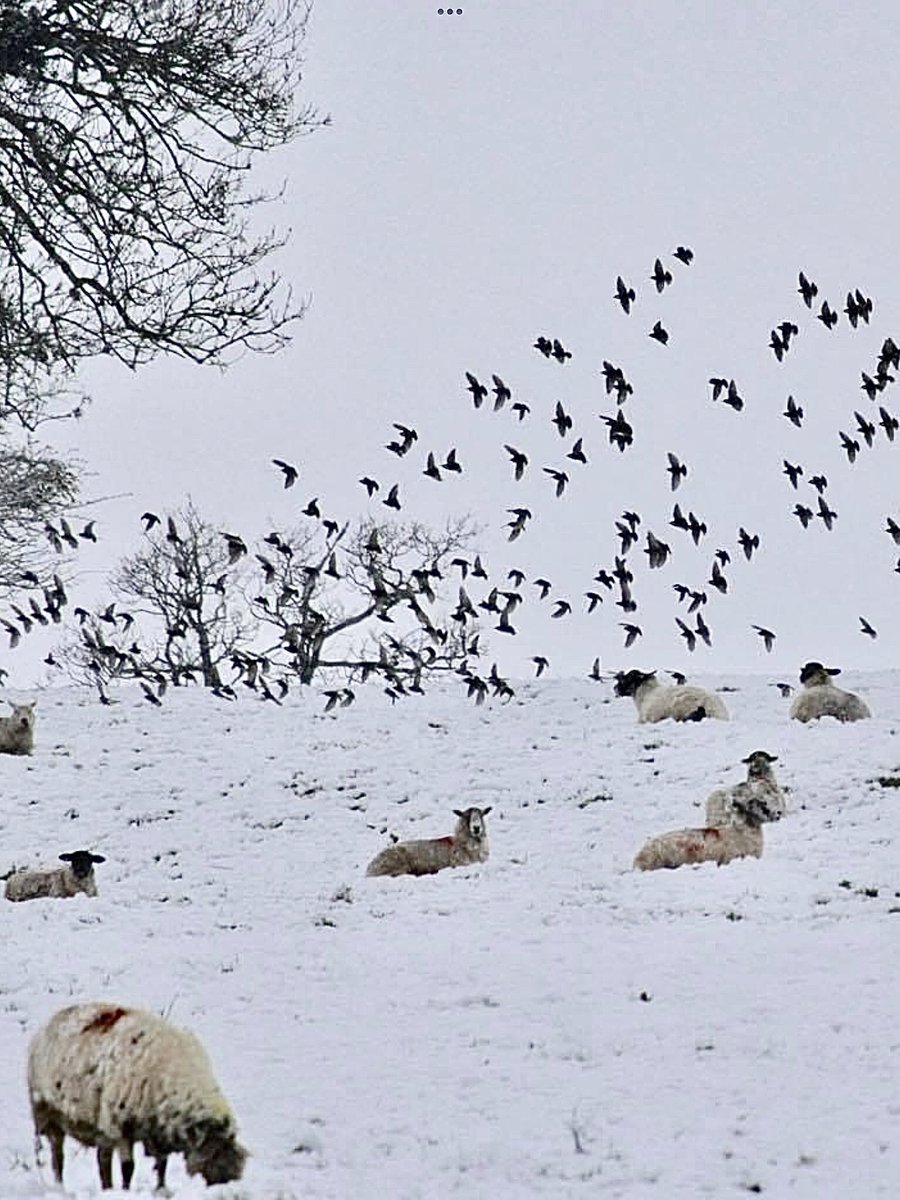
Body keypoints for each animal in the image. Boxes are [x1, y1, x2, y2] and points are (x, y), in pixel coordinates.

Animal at [28, 1001, 247, 1191]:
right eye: (214, 1158)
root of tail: (55, 1016)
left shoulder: (157, 1130)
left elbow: (162, 1164)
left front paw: (161, 1190)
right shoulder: (120, 1125)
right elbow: (128, 1168)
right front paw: (126, 1191)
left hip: (98, 1125)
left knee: (102, 1158)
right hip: (47, 1113)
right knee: (58, 1157)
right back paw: (61, 1187)